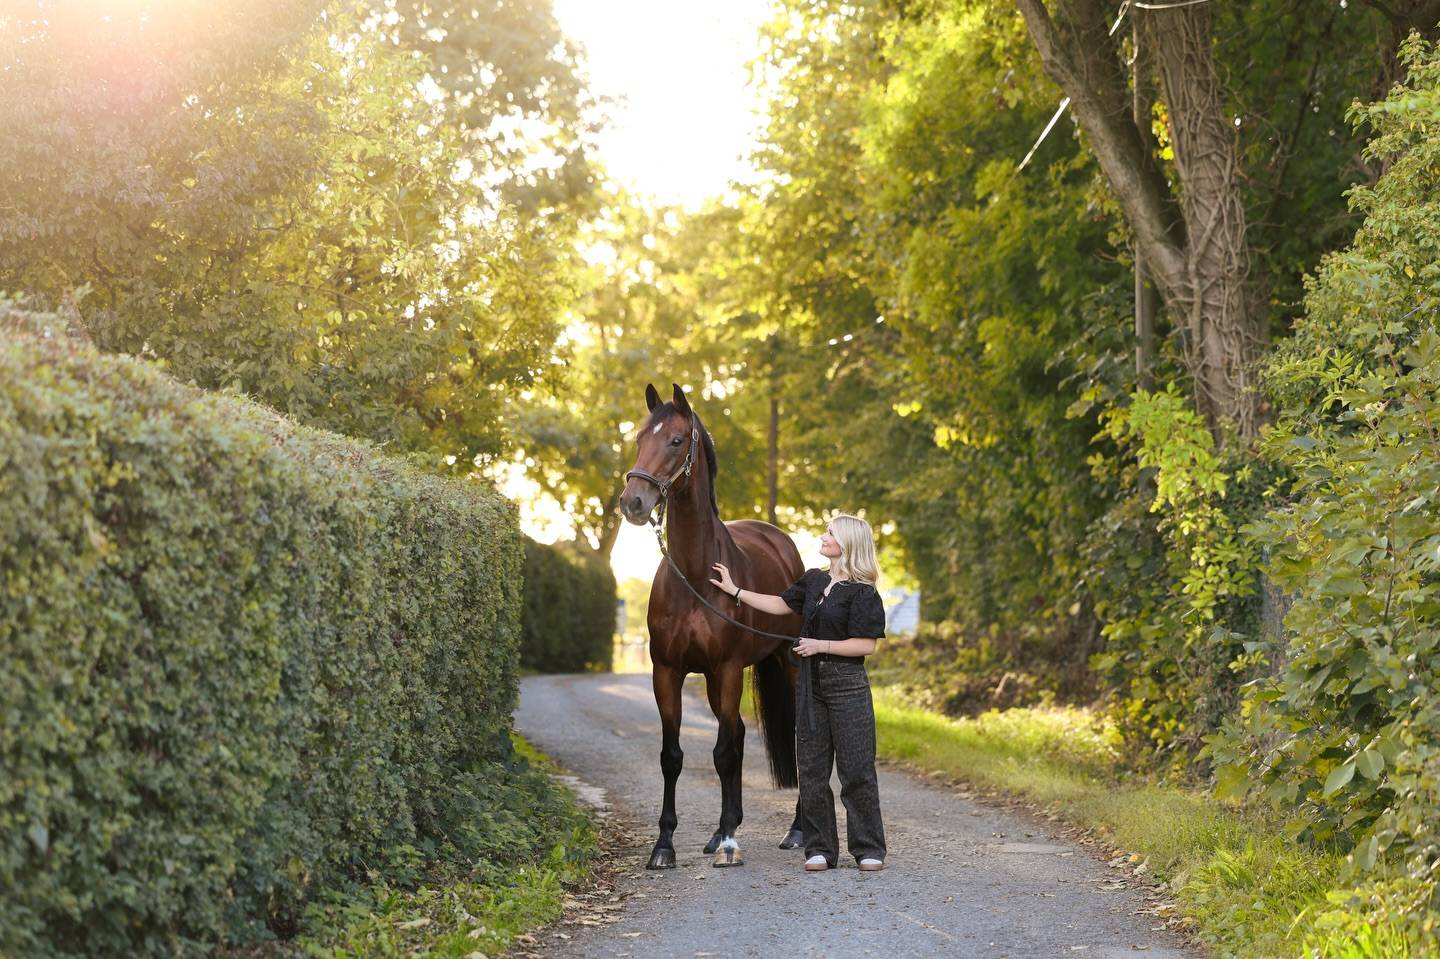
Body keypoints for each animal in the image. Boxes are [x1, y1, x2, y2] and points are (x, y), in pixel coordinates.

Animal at [619, 382, 805, 869]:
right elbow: (672, 756)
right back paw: (724, 827)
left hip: (787, 663)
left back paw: (793, 831)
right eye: (638, 439)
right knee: (736, 732)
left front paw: (728, 846)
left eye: (676, 440)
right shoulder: (667, 672)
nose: (633, 502)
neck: (696, 574)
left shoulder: (726, 669)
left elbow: (721, 753)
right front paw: (664, 846)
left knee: (791, 736)